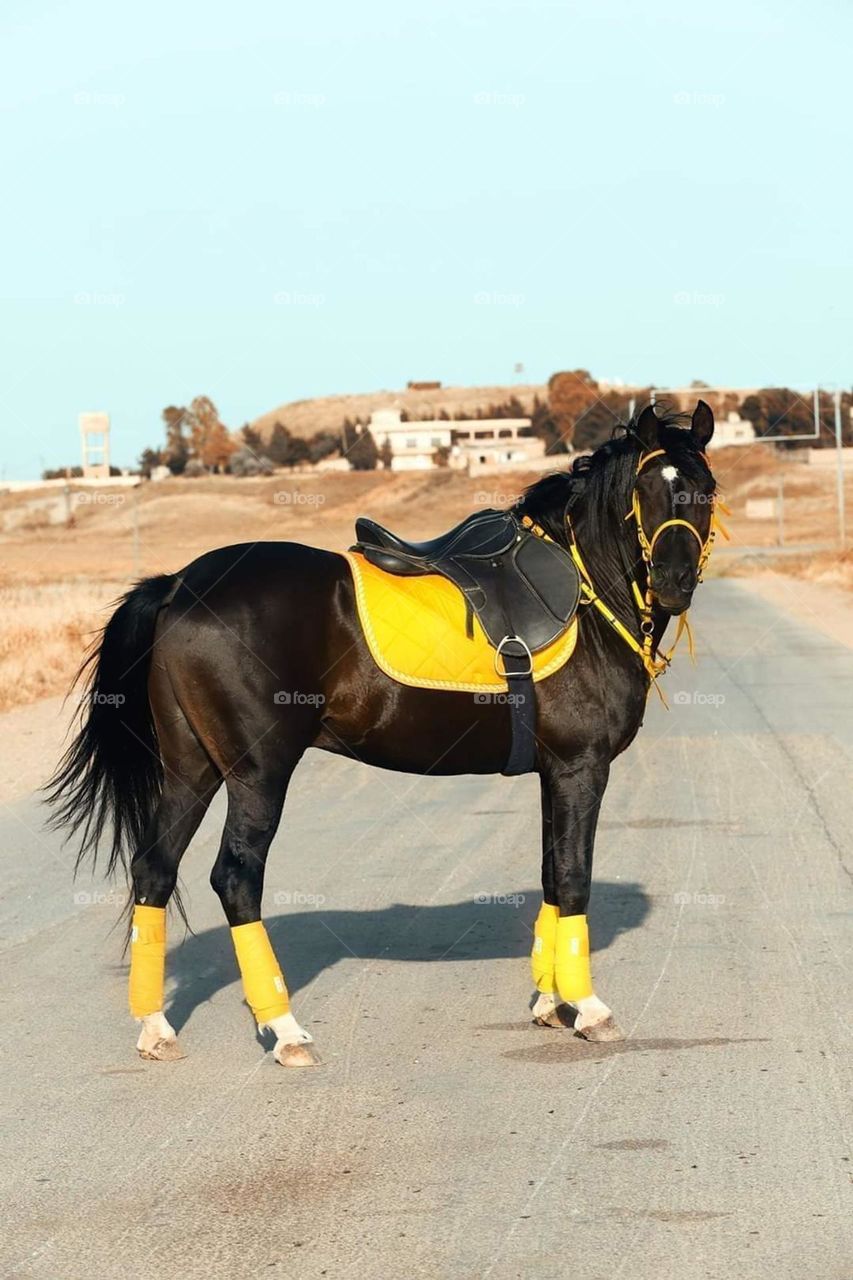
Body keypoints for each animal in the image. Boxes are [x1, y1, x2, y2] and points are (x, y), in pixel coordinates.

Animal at [46, 401, 718, 1067]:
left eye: (705, 490)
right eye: (647, 491)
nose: (675, 584)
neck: (585, 593)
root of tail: (179, 586)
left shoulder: (555, 773)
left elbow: (554, 875)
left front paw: (550, 1003)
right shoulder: (582, 767)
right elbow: (575, 879)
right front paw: (589, 1009)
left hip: (192, 770)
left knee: (154, 870)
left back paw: (156, 1027)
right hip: (256, 775)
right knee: (236, 878)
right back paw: (285, 1030)